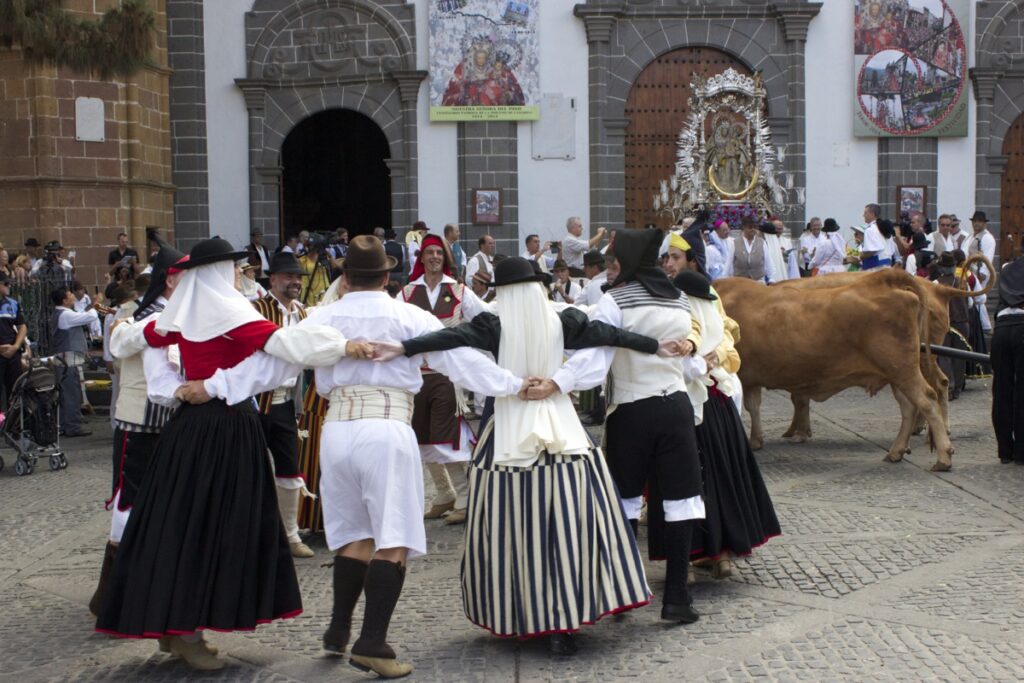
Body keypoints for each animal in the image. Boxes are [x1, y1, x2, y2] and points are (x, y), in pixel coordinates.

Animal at [716, 270, 954, 473]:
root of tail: (881, 278)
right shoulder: (751, 380)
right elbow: (754, 406)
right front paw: (756, 439)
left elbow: (748, 407)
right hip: (896, 374)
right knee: (909, 408)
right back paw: (897, 451)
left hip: (903, 370)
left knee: (928, 399)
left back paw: (943, 457)